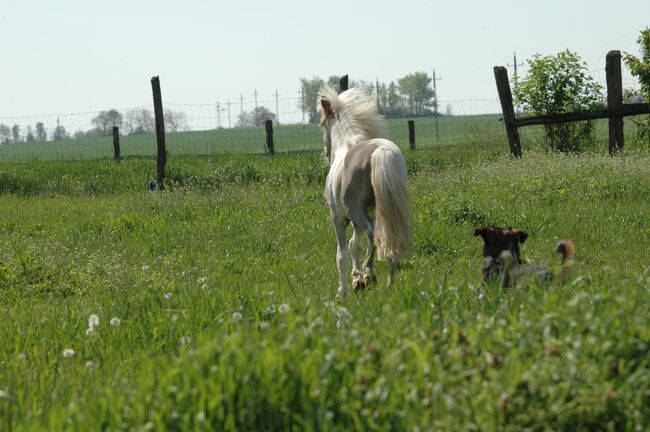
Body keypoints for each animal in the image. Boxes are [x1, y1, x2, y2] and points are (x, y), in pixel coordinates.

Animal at [316, 87, 412, 296]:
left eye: (321, 124)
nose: (325, 154)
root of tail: (381, 151)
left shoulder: (338, 217)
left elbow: (342, 254)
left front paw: (344, 290)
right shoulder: (359, 217)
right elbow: (355, 246)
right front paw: (356, 279)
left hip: (356, 212)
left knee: (373, 232)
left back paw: (370, 274)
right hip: (389, 208)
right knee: (390, 235)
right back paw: (389, 282)